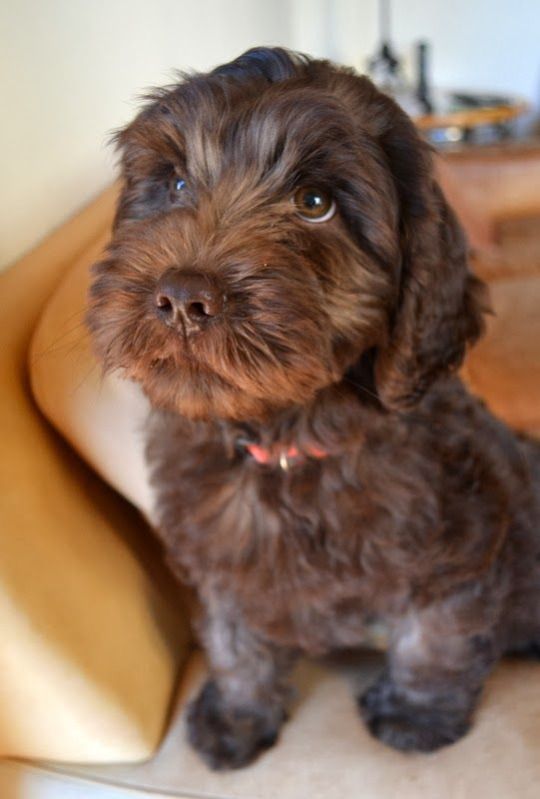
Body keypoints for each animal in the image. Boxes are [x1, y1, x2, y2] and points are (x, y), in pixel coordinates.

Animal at [87, 45, 540, 768]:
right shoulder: (220, 558)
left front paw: (415, 714)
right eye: (176, 183)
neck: (287, 443)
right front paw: (238, 712)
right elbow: (234, 638)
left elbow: (435, 636)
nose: (181, 296)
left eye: (316, 203)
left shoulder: (466, 547)